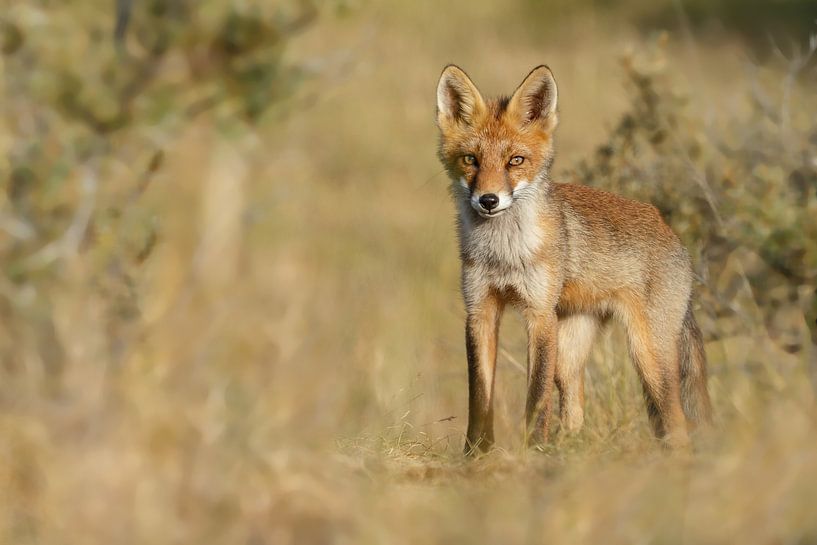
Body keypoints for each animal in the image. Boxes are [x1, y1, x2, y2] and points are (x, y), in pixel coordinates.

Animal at [436, 65, 712, 454]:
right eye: (470, 160)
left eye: (515, 161)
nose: (488, 200)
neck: (503, 254)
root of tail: (670, 231)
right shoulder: (480, 309)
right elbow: (479, 396)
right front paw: (476, 454)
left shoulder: (539, 314)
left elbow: (537, 398)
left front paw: (531, 452)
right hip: (569, 355)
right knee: (576, 412)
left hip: (648, 356)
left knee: (677, 423)